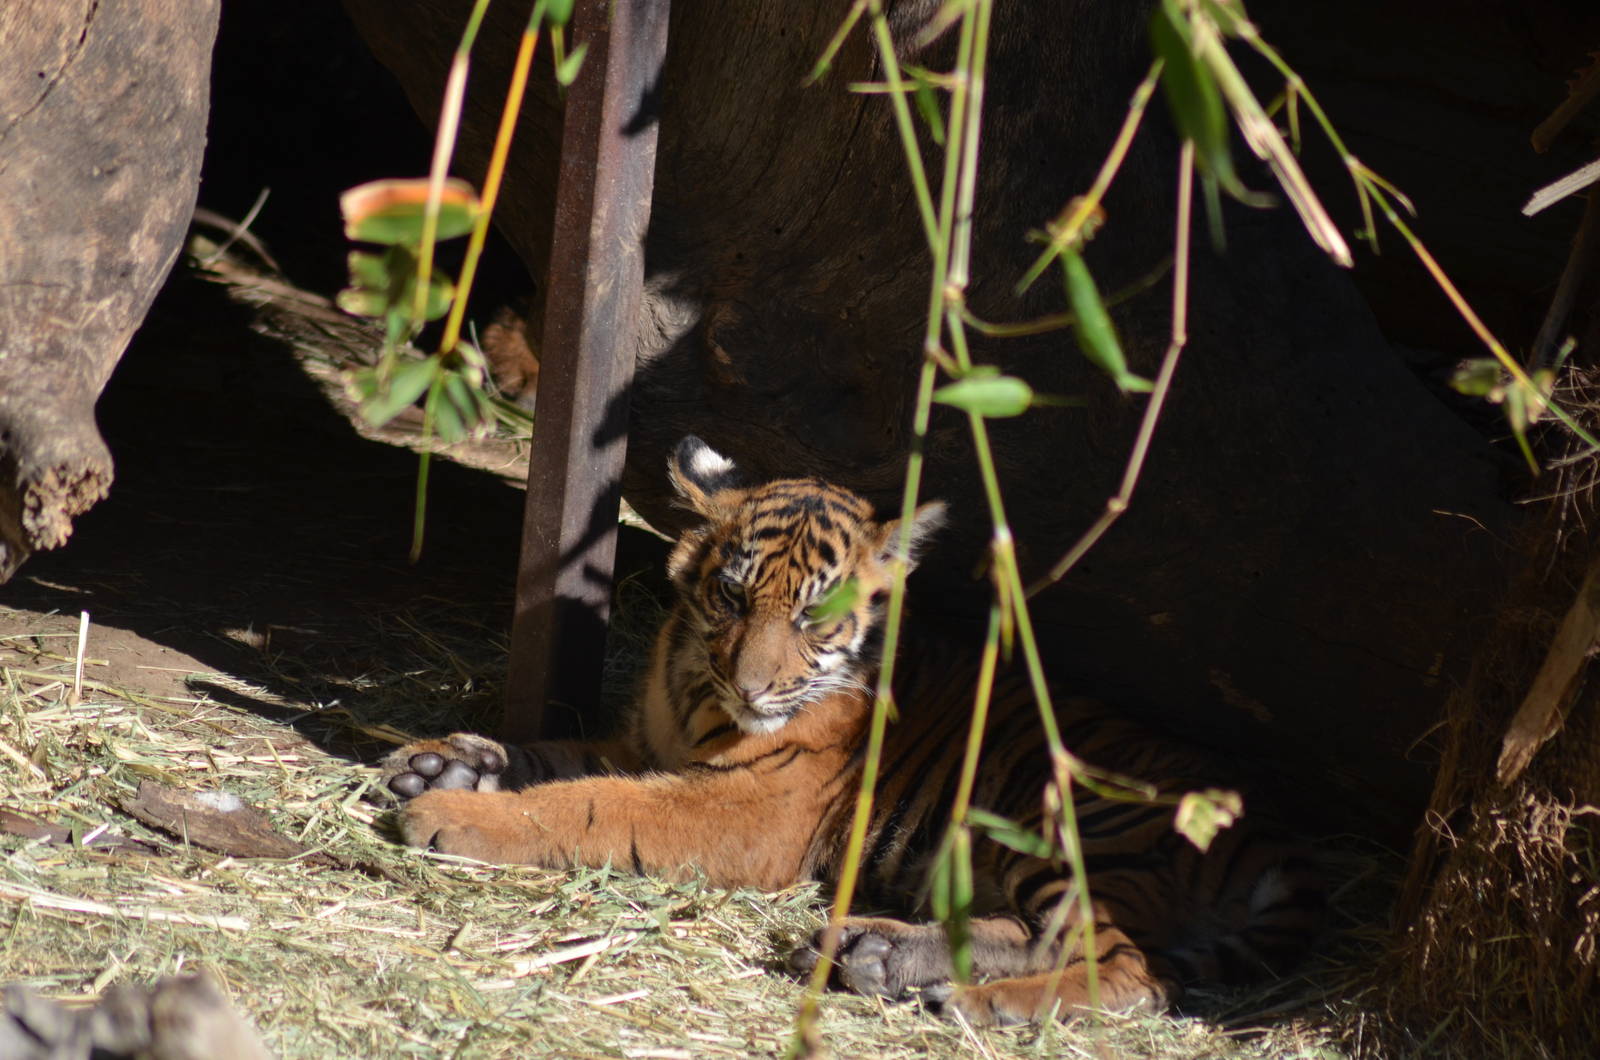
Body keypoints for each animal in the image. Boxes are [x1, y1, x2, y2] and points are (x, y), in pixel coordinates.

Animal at [381, 435, 1324, 1025]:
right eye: (731, 595)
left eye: (814, 617)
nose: (753, 685)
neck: (694, 685)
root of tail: (1278, 836)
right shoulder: (643, 745)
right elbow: (556, 756)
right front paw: (439, 765)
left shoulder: (747, 812)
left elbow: (590, 804)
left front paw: (449, 815)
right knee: (1049, 936)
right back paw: (873, 955)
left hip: (1071, 823)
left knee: (1128, 967)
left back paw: (971, 1004)